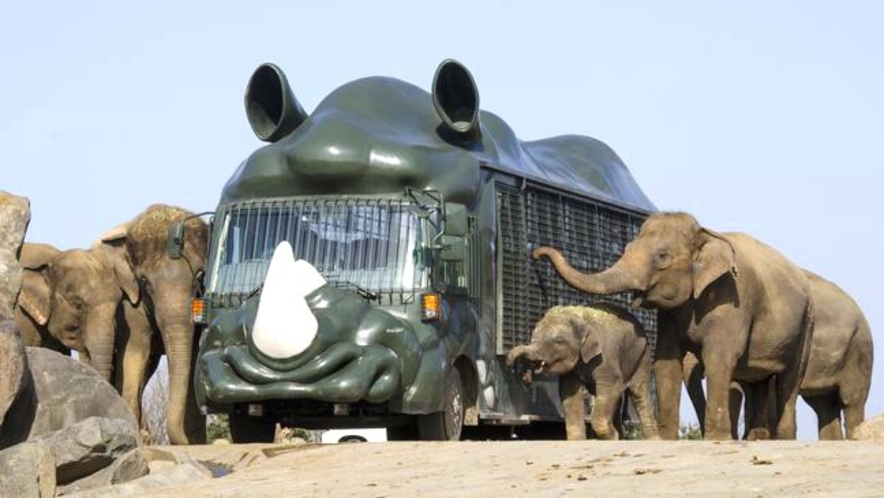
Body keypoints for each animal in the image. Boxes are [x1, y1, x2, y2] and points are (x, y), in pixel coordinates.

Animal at [508, 304, 660, 440]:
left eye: (558, 341)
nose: (510, 364)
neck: (581, 319)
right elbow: (569, 393)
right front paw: (578, 440)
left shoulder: (606, 356)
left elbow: (611, 386)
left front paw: (612, 437)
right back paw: (621, 437)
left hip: (643, 357)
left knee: (638, 393)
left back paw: (652, 440)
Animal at [532, 211, 816, 440]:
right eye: (627, 246)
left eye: (662, 256)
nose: (536, 253)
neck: (705, 234)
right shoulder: (669, 313)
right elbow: (666, 361)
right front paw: (668, 439)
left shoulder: (734, 299)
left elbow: (718, 356)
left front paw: (716, 439)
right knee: (758, 380)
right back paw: (756, 438)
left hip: (807, 323)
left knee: (789, 379)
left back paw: (782, 438)